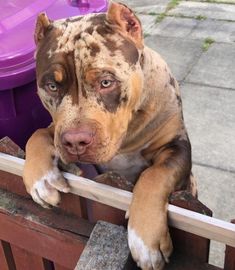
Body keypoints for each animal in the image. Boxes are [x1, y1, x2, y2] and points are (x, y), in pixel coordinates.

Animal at [23, 2, 196, 270]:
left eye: (106, 82)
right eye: (51, 86)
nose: (75, 141)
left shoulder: (176, 146)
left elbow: (155, 174)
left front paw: (144, 239)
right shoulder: (57, 128)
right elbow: (38, 133)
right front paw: (41, 179)